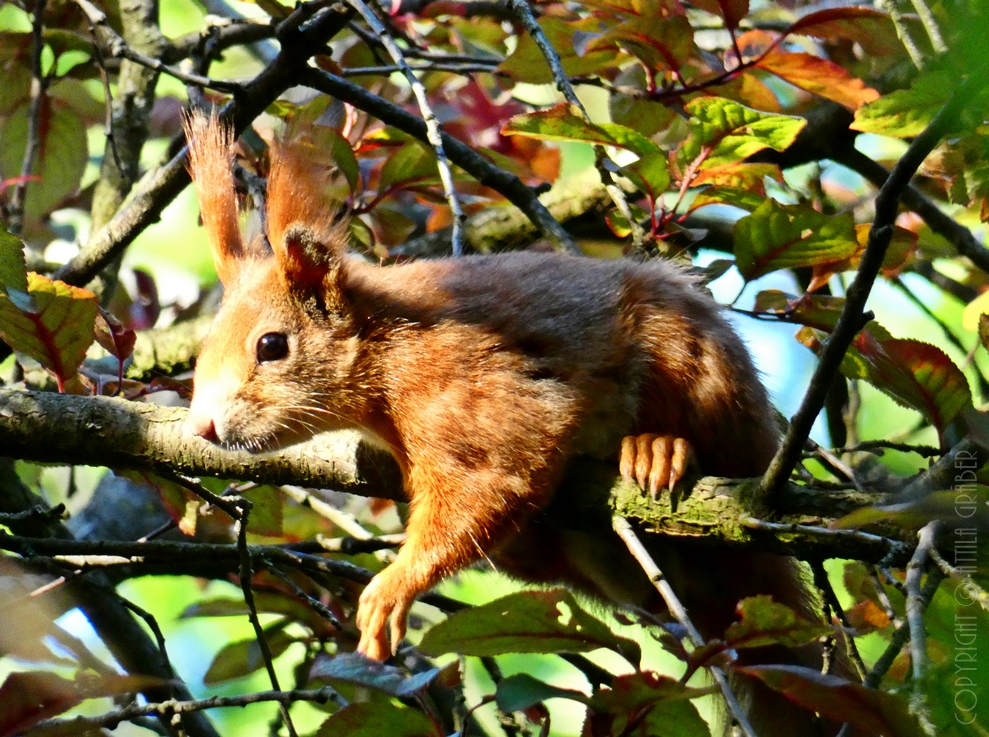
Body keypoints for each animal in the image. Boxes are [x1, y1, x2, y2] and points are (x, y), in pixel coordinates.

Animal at [183, 112, 832, 732]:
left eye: (271, 346)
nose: (204, 429)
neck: (384, 348)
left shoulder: (473, 395)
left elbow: (490, 480)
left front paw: (394, 586)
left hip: (698, 368)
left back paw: (658, 449)